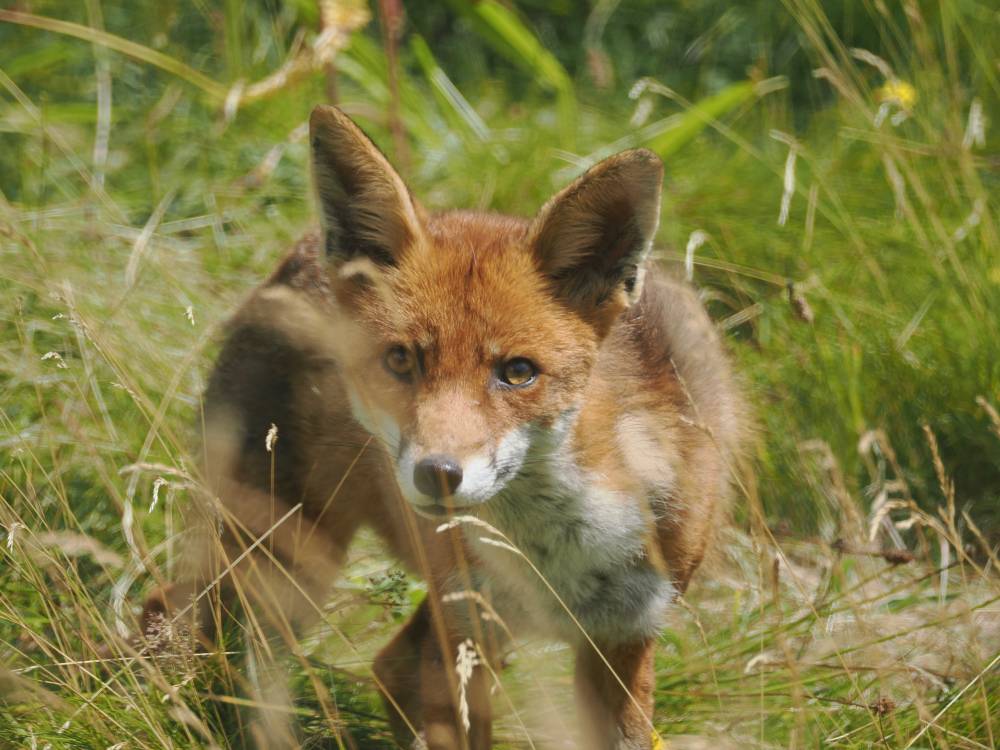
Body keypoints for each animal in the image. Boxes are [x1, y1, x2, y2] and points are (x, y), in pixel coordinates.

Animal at [140, 104, 747, 750]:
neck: (555, 553)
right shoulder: (460, 638)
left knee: (385, 665)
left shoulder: (624, 641)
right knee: (178, 616)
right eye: (401, 360)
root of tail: (299, 258)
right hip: (288, 557)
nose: (438, 474)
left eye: (518, 372)